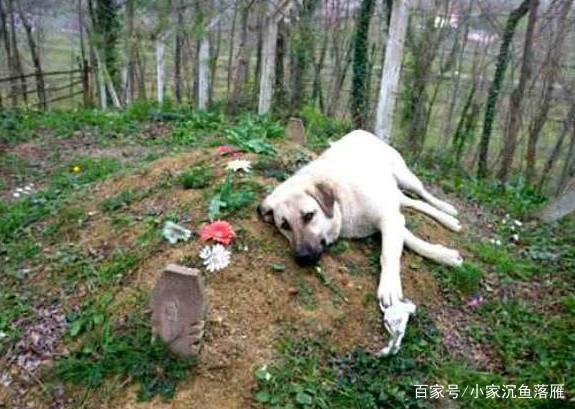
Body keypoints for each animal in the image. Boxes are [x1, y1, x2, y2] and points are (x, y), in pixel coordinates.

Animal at [258, 129, 464, 308]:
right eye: (284, 225)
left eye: (309, 216)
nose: (303, 257)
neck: (342, 203)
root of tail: (359, 131)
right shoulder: (391, 217)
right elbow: (411, 240)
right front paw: (443, 254)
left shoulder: (388, 218)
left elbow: (389, 253)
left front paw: (389, 286)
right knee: (412, 202)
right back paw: (448, 220)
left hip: (406, 178)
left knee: (423, 194)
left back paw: (447, 210)